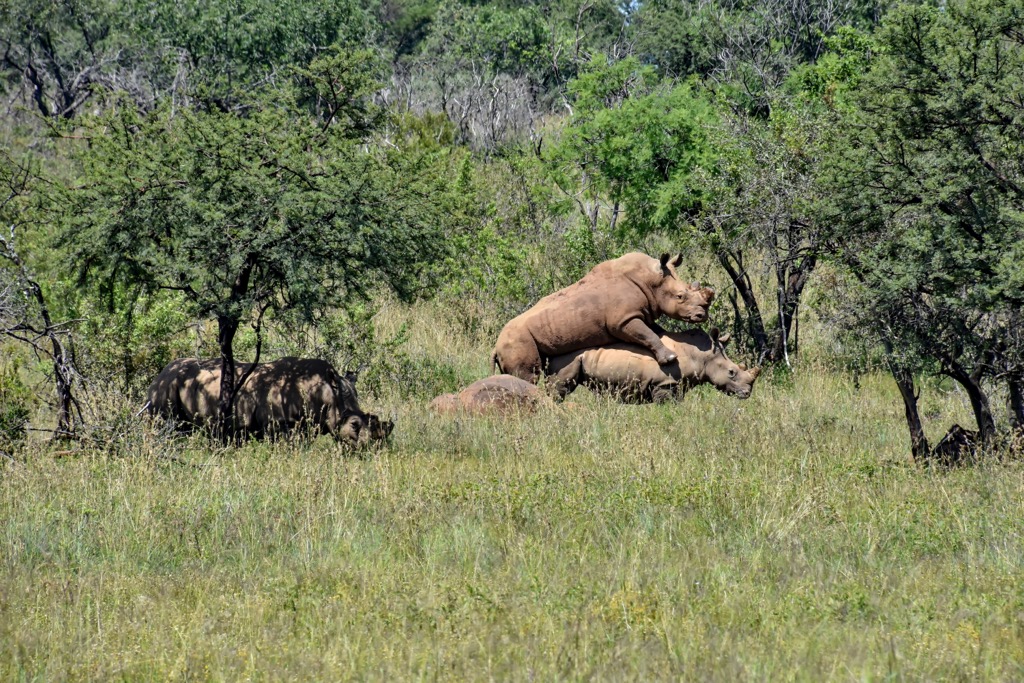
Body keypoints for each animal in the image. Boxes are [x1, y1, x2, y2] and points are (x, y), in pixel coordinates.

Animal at [146, 357, 391, 445]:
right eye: (354, 425)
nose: (369, 448)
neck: (327, 395)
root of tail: (161, 372)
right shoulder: (280, 425)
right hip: (165, 388)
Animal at [492, 252, 715, 383]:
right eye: (680, 296)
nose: (701, 315)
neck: (650, 280)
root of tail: (495, 346)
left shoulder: (639, 315)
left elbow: (655, 331)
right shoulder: (623, 320)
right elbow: (647, 334)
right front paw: (670, 358)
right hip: (516, 340)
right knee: (528, 377)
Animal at [544, 328, 760, 403]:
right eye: (731, 372)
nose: (746, 394)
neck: (702, 355)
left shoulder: (677, 385)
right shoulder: (664, 384)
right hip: (567, 357)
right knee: (559, 390)